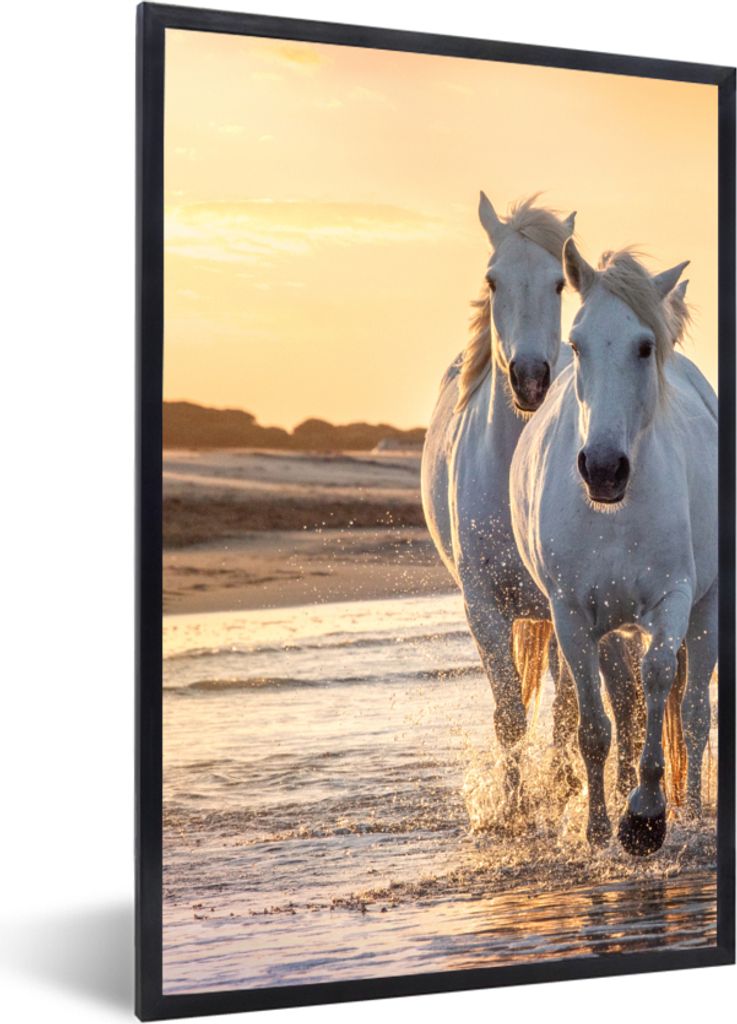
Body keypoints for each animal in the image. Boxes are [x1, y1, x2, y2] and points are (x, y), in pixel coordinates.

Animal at [422, 193, 602, 817]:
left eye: (558, 284)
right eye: (492, 279)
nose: (529, 380)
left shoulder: (569, 606)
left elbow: (569, 712)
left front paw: (567, 793)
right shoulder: (482, 608)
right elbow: (509, 717)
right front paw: (514, 808)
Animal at [510, 240, 717, 855]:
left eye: (644, 346)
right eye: (576, 344)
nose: (603, 469)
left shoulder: (674, 600)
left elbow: (659, 680)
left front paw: (646, 815)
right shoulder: (572, 615)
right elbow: (594, 726)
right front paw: (600, 826)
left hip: (708, 610)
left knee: (693, 713)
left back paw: (691, 810)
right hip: (609, 627)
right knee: (622, 706)